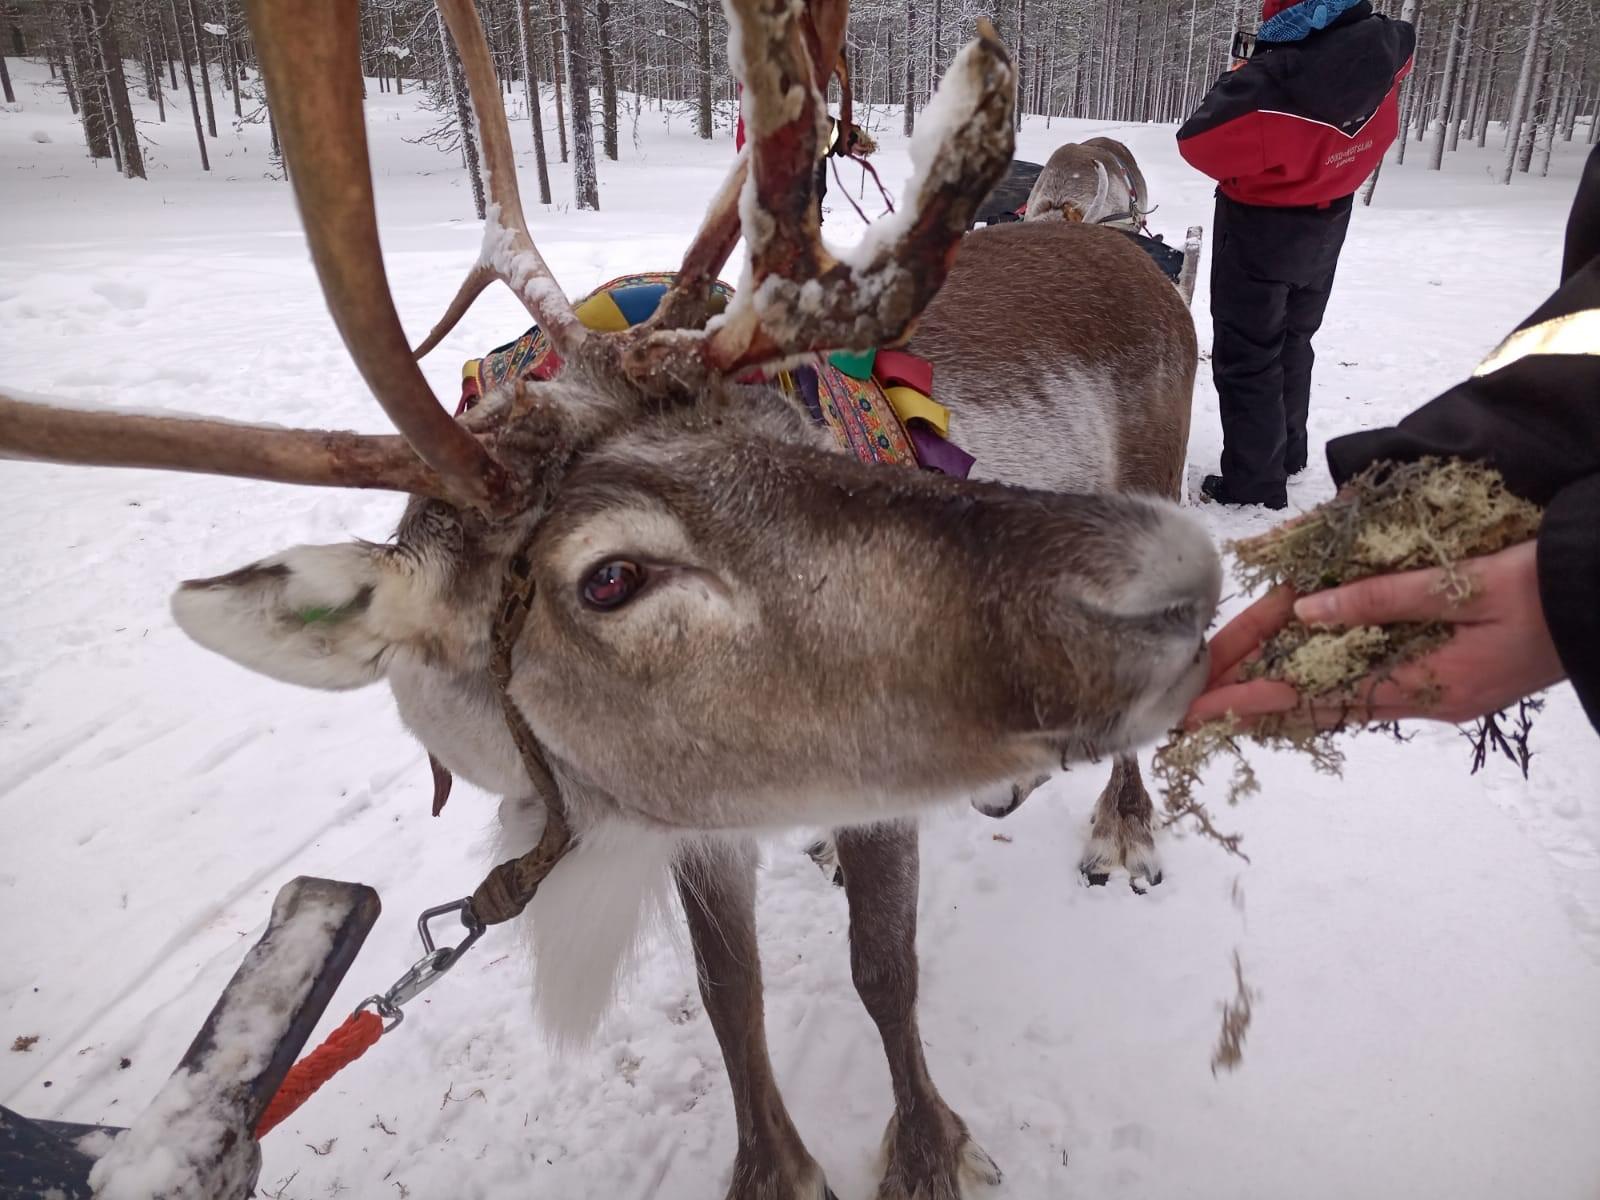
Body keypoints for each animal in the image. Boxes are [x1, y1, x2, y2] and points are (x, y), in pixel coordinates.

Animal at [0, 0, 1217, 1197]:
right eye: (610, 576)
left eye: (792, 430)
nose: (1171, 578)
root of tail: (1110, 240)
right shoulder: (697, 809)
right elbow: (731, 993)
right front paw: (774, 1173)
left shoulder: (865, 793)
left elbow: (883, 970)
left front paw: (928, 1158)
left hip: (1154, 472)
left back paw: (1122, 830)